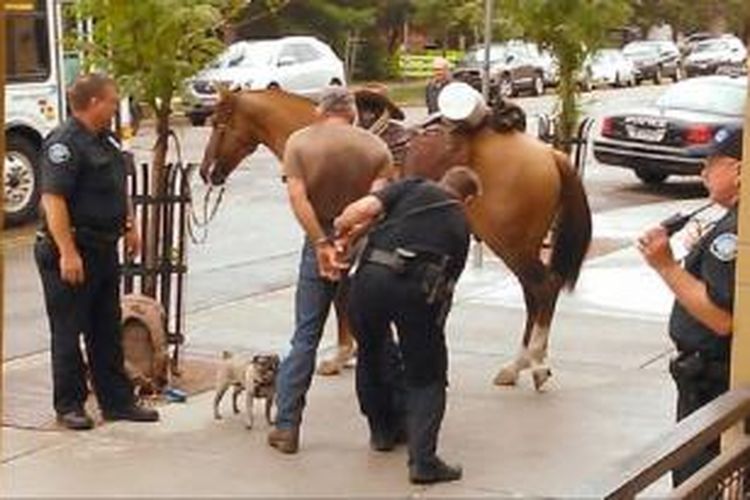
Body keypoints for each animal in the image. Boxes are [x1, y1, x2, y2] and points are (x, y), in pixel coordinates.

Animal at [200, 88, 592, 388]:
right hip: (521, 243)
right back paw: (522, 365)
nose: (205, 172)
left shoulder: (337, 233)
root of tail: (550, 152)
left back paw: (532, 363)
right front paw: (352, 352)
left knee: (543, 288)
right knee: (532, 294)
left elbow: (339, 293)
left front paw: (341, 355)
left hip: (509, 240)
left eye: (219, 124)